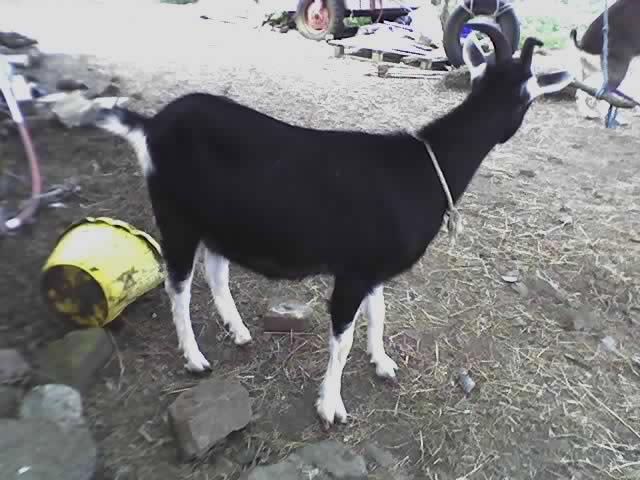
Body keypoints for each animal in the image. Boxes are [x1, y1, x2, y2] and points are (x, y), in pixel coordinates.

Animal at [94, 23, 571, 427]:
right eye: (527, 97)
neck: (421, 168)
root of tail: (151, 125)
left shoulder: (375, 268)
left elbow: (379, 314)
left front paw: (383, 363)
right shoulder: (353, 272)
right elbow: (342, 340)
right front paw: (331, 407)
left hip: (218, 221)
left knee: (216, 270)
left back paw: (239, 331)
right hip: (176, 215)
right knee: (177, 284)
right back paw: (194, 359)